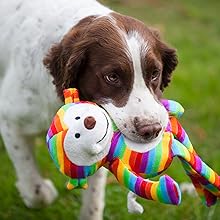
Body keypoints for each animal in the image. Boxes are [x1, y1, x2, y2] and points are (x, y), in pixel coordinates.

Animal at [0, 0, 178, 218]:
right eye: (112, 77)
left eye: (155, 73)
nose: (151, 130)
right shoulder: (10, 121)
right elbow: (34, 186)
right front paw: (41, 190)